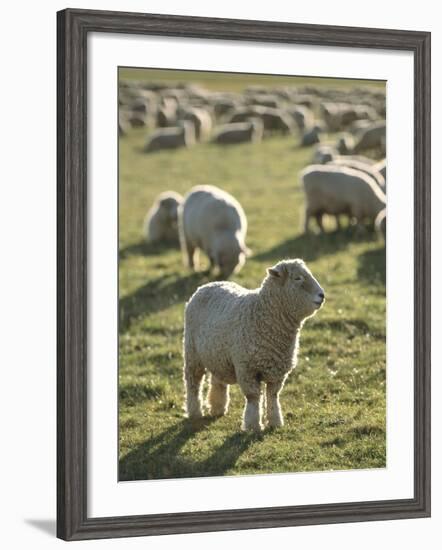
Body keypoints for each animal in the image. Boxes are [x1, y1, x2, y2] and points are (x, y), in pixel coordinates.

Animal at [183, 258, 324, 432]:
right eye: (297, 278)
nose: (322, 295)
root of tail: (207, 285)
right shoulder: (247, 369)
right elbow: (253, 397)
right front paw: (252, 425)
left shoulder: (277, 372)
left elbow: (272, 396)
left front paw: (275, 422)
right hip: (192, 353)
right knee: (193, 382)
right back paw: (195, 412)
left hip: (218, 354)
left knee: (217, 381)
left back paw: (217, 408)